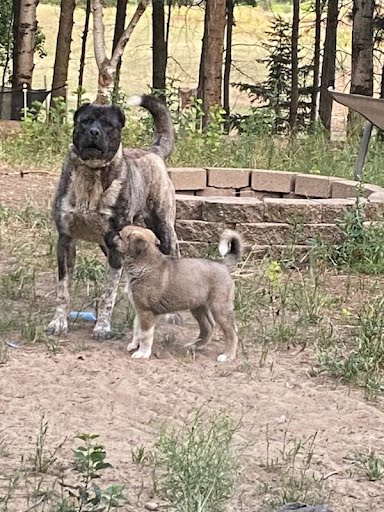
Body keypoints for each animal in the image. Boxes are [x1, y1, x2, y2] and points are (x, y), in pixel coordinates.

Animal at [47, 95, 178, 340]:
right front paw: (58, 323)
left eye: (108, 124)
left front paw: (102, 327)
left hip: (164, 230)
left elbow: (108, 291)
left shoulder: (114, 245)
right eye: (86, 121)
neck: (91, 175)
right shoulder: (66, 240)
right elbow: (63, 289)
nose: (94, 132)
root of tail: (153, 152)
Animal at [112, 226, 242, 362]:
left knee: (232, 331)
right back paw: (195, 346)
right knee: (208, 326)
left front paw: (143, 353)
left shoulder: (146, 312)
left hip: (219, 307)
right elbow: (137, 329)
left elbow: (145, 336)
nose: (112, 234)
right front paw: (134, 345)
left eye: (120, 236)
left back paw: (228, 355)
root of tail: (223, 264)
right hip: (198, 306)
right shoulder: (140, 310)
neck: (145, 264)